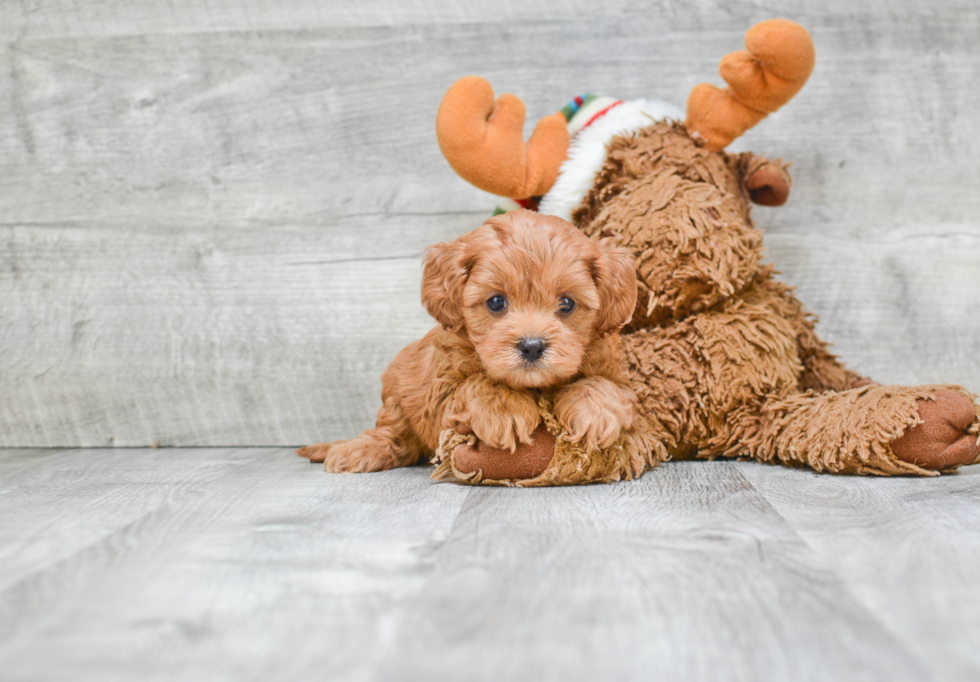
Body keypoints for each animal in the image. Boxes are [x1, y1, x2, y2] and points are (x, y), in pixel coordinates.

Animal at [294, 210, 640, 470]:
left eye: (567, 304)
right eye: (496, 302)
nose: (531, 346)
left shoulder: (619, 377)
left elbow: (603, 384)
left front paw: (594, 413)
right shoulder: (439, 391)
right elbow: (477, 383)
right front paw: (505, 410)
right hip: (396, 395)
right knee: (395, 436)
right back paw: (358, 451)